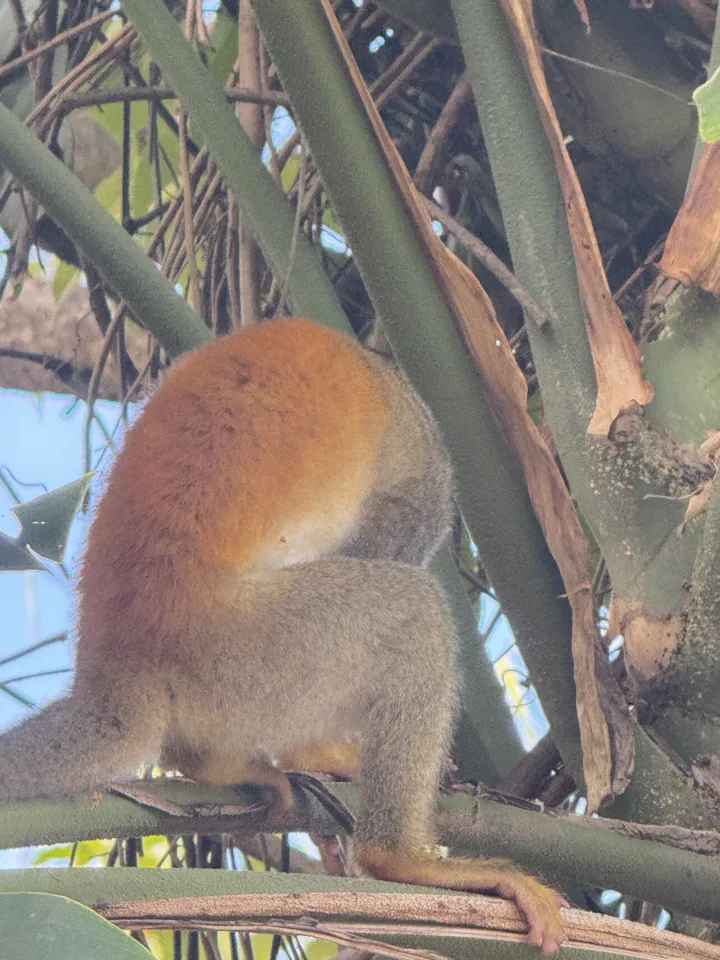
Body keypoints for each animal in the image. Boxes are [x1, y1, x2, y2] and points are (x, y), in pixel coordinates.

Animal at [0, 318, 564, 953]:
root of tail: (116, 671)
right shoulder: (419, 462)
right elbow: (385, 542)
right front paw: (315, 754)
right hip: (249, 651)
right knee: (413, 611)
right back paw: (399, 860)